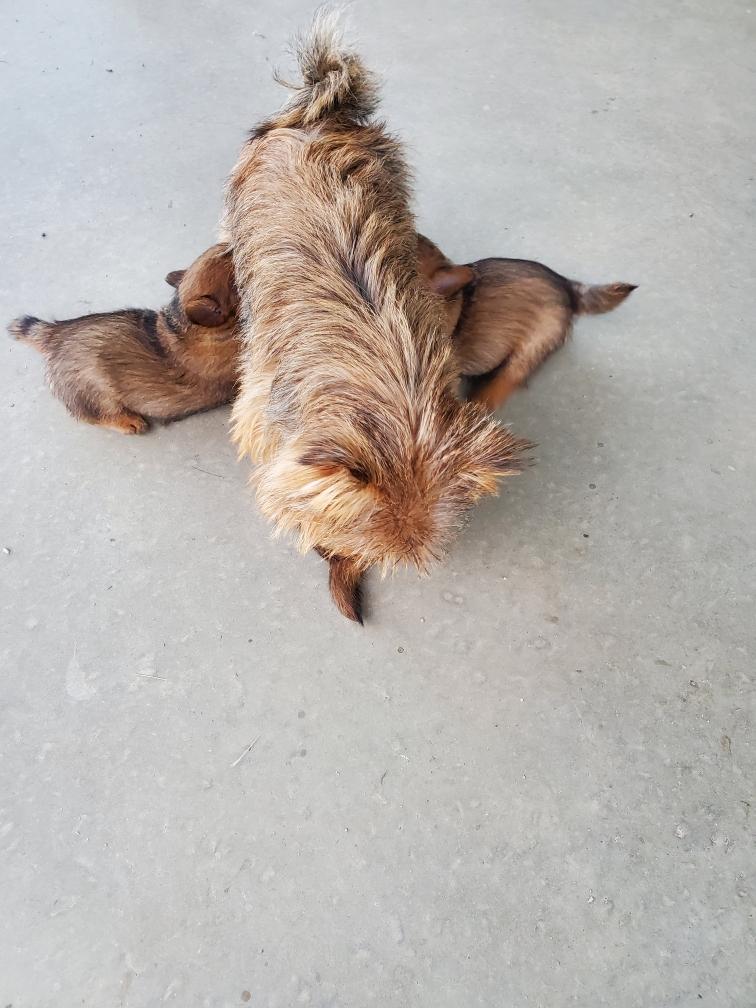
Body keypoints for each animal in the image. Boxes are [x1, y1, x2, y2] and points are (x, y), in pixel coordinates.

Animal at [9, 244, 240, 433]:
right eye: (230, 266)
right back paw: (128, 421)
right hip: (94, 392)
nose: (230, 242)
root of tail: (53, 333)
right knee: (95, 415)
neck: (185, 326)